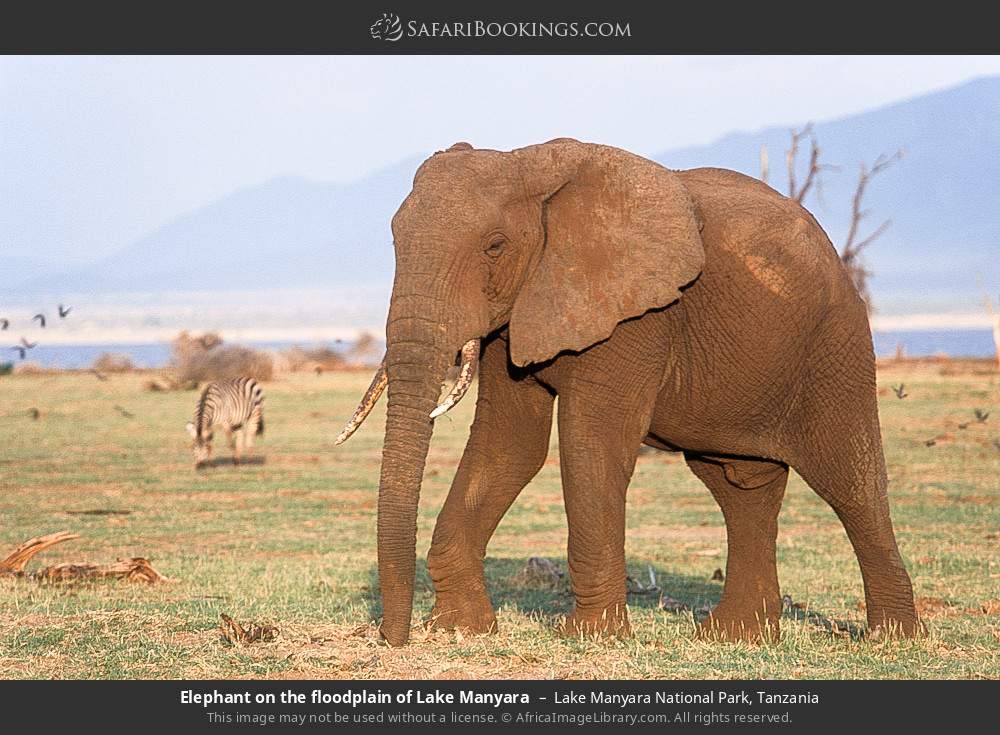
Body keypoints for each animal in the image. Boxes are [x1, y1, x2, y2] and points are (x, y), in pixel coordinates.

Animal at [337, 138, 920, 647]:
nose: (393, 638)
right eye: (394, 240)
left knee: (850, 479)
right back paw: (736, 638)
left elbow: (591, 442)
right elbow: (510, 444)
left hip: (835, 341)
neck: (528, 163)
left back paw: (890, 640)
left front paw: (589, 637)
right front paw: (459, 629)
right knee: (740, 488)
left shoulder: (638, 314)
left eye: (494, 247)